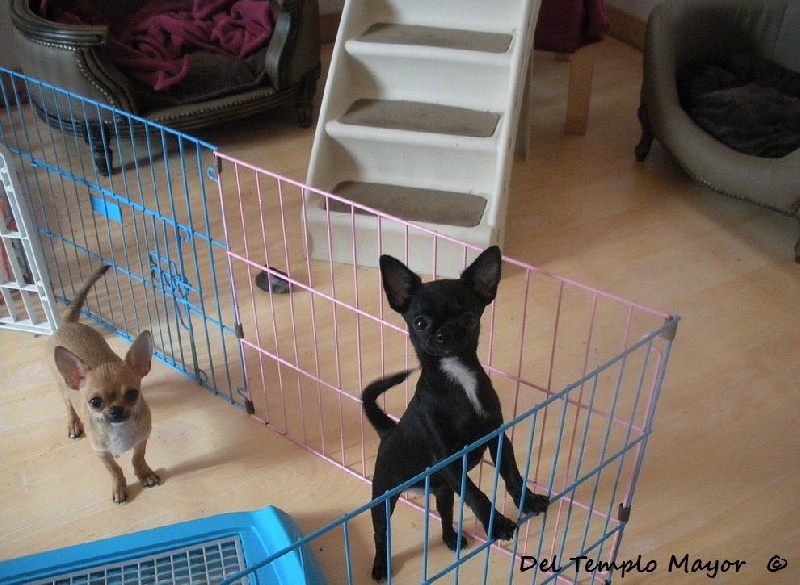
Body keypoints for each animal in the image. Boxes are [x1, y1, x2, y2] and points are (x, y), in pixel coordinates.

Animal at [48, 265, 160, 503]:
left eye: (133, 395)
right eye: (95, 402)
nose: (115, 410)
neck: (119, 430)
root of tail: (68, 323)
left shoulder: (142, 438)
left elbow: (137, 458)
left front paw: (144, 474)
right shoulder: (101, 452)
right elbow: (114, 469)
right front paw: (119, 487)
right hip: (63, 389)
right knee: (68, 405)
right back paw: (73, 424)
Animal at [362, 246, 549, 581]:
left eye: (468, 319)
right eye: (420, 323)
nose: (443, 334)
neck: (458, 376)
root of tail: (388, 431)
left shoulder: (497, 440)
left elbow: (512, 475)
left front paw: (527, 500)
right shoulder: (449, 459)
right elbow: (476, 494)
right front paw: (497, 524)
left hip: (443, 491)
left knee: (446, 512)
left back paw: (451, 538)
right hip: (383, 496)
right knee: (381, 533)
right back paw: (381, 565)